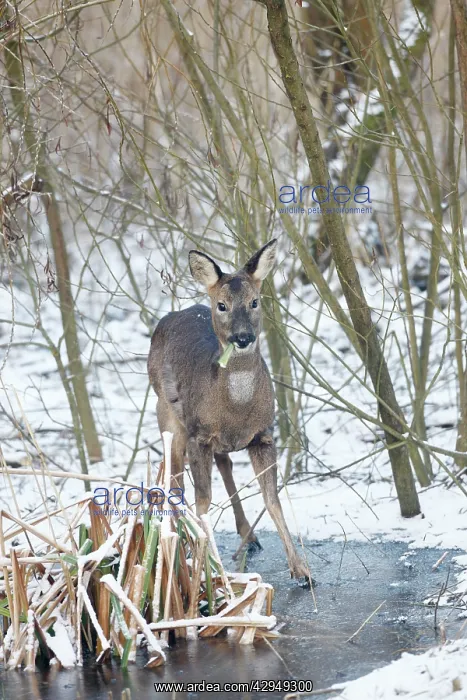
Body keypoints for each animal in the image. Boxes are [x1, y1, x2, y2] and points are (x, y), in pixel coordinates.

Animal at [147, 239, 310, 583]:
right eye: (222, 305)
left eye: (254, 301)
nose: (243, 337)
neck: (236, 409)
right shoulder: (198, 435)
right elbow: (203, 501)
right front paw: (210, 567)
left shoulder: (264, 435)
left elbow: (272, 500)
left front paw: (302, 570)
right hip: (166, 413)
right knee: (175, 477)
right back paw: (181, 540)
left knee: (224, 464)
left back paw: (249, 535)